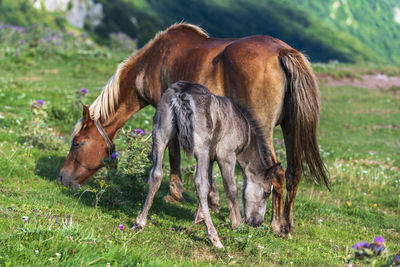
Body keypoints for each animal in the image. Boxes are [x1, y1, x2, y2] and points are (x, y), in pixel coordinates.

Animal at [134, 81, 282, 249]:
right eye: (267, 193)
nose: (257, 222)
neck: (242, 127)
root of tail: (183, 93)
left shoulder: (211, 158)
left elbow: (211, 182)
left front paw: (198, 219)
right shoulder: (226, 156)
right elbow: (230, 189)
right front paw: (237, 224)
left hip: (160, 136)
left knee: (156, 175)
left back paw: (140, 222)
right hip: (201, 148)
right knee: (200, 183)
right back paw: (214, 238)